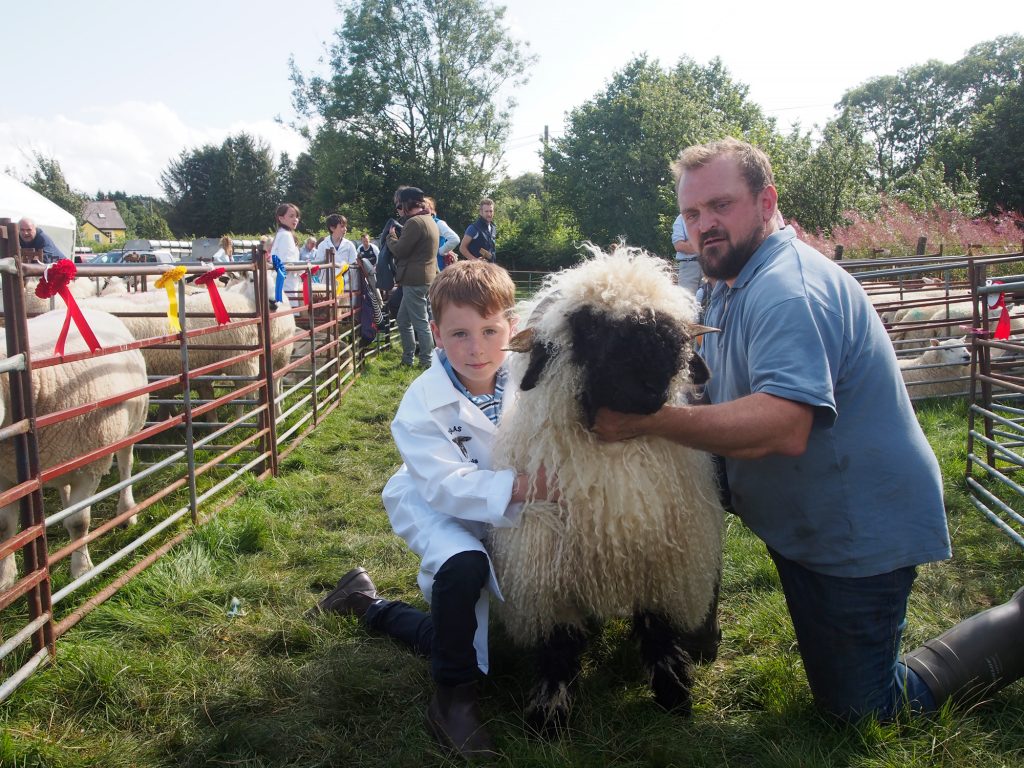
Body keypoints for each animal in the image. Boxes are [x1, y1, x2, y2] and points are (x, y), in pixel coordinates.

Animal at [0, 309, 148, 593]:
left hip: (131, 426)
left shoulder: (89, 467)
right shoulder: (6, 478)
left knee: (126, 466)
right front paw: (5, 580)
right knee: (63, 488)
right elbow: (6, 530)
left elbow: (79, 523)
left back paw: (127, 512)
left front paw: (81, 570)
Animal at [491, 246, 724, 733]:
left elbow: (659, 634)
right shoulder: (549, 578)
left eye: (673, 329)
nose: (654, 375)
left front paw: (674, 694)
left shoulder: (663, 567)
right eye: (590, 328)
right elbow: (559, 648)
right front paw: (549, 714)